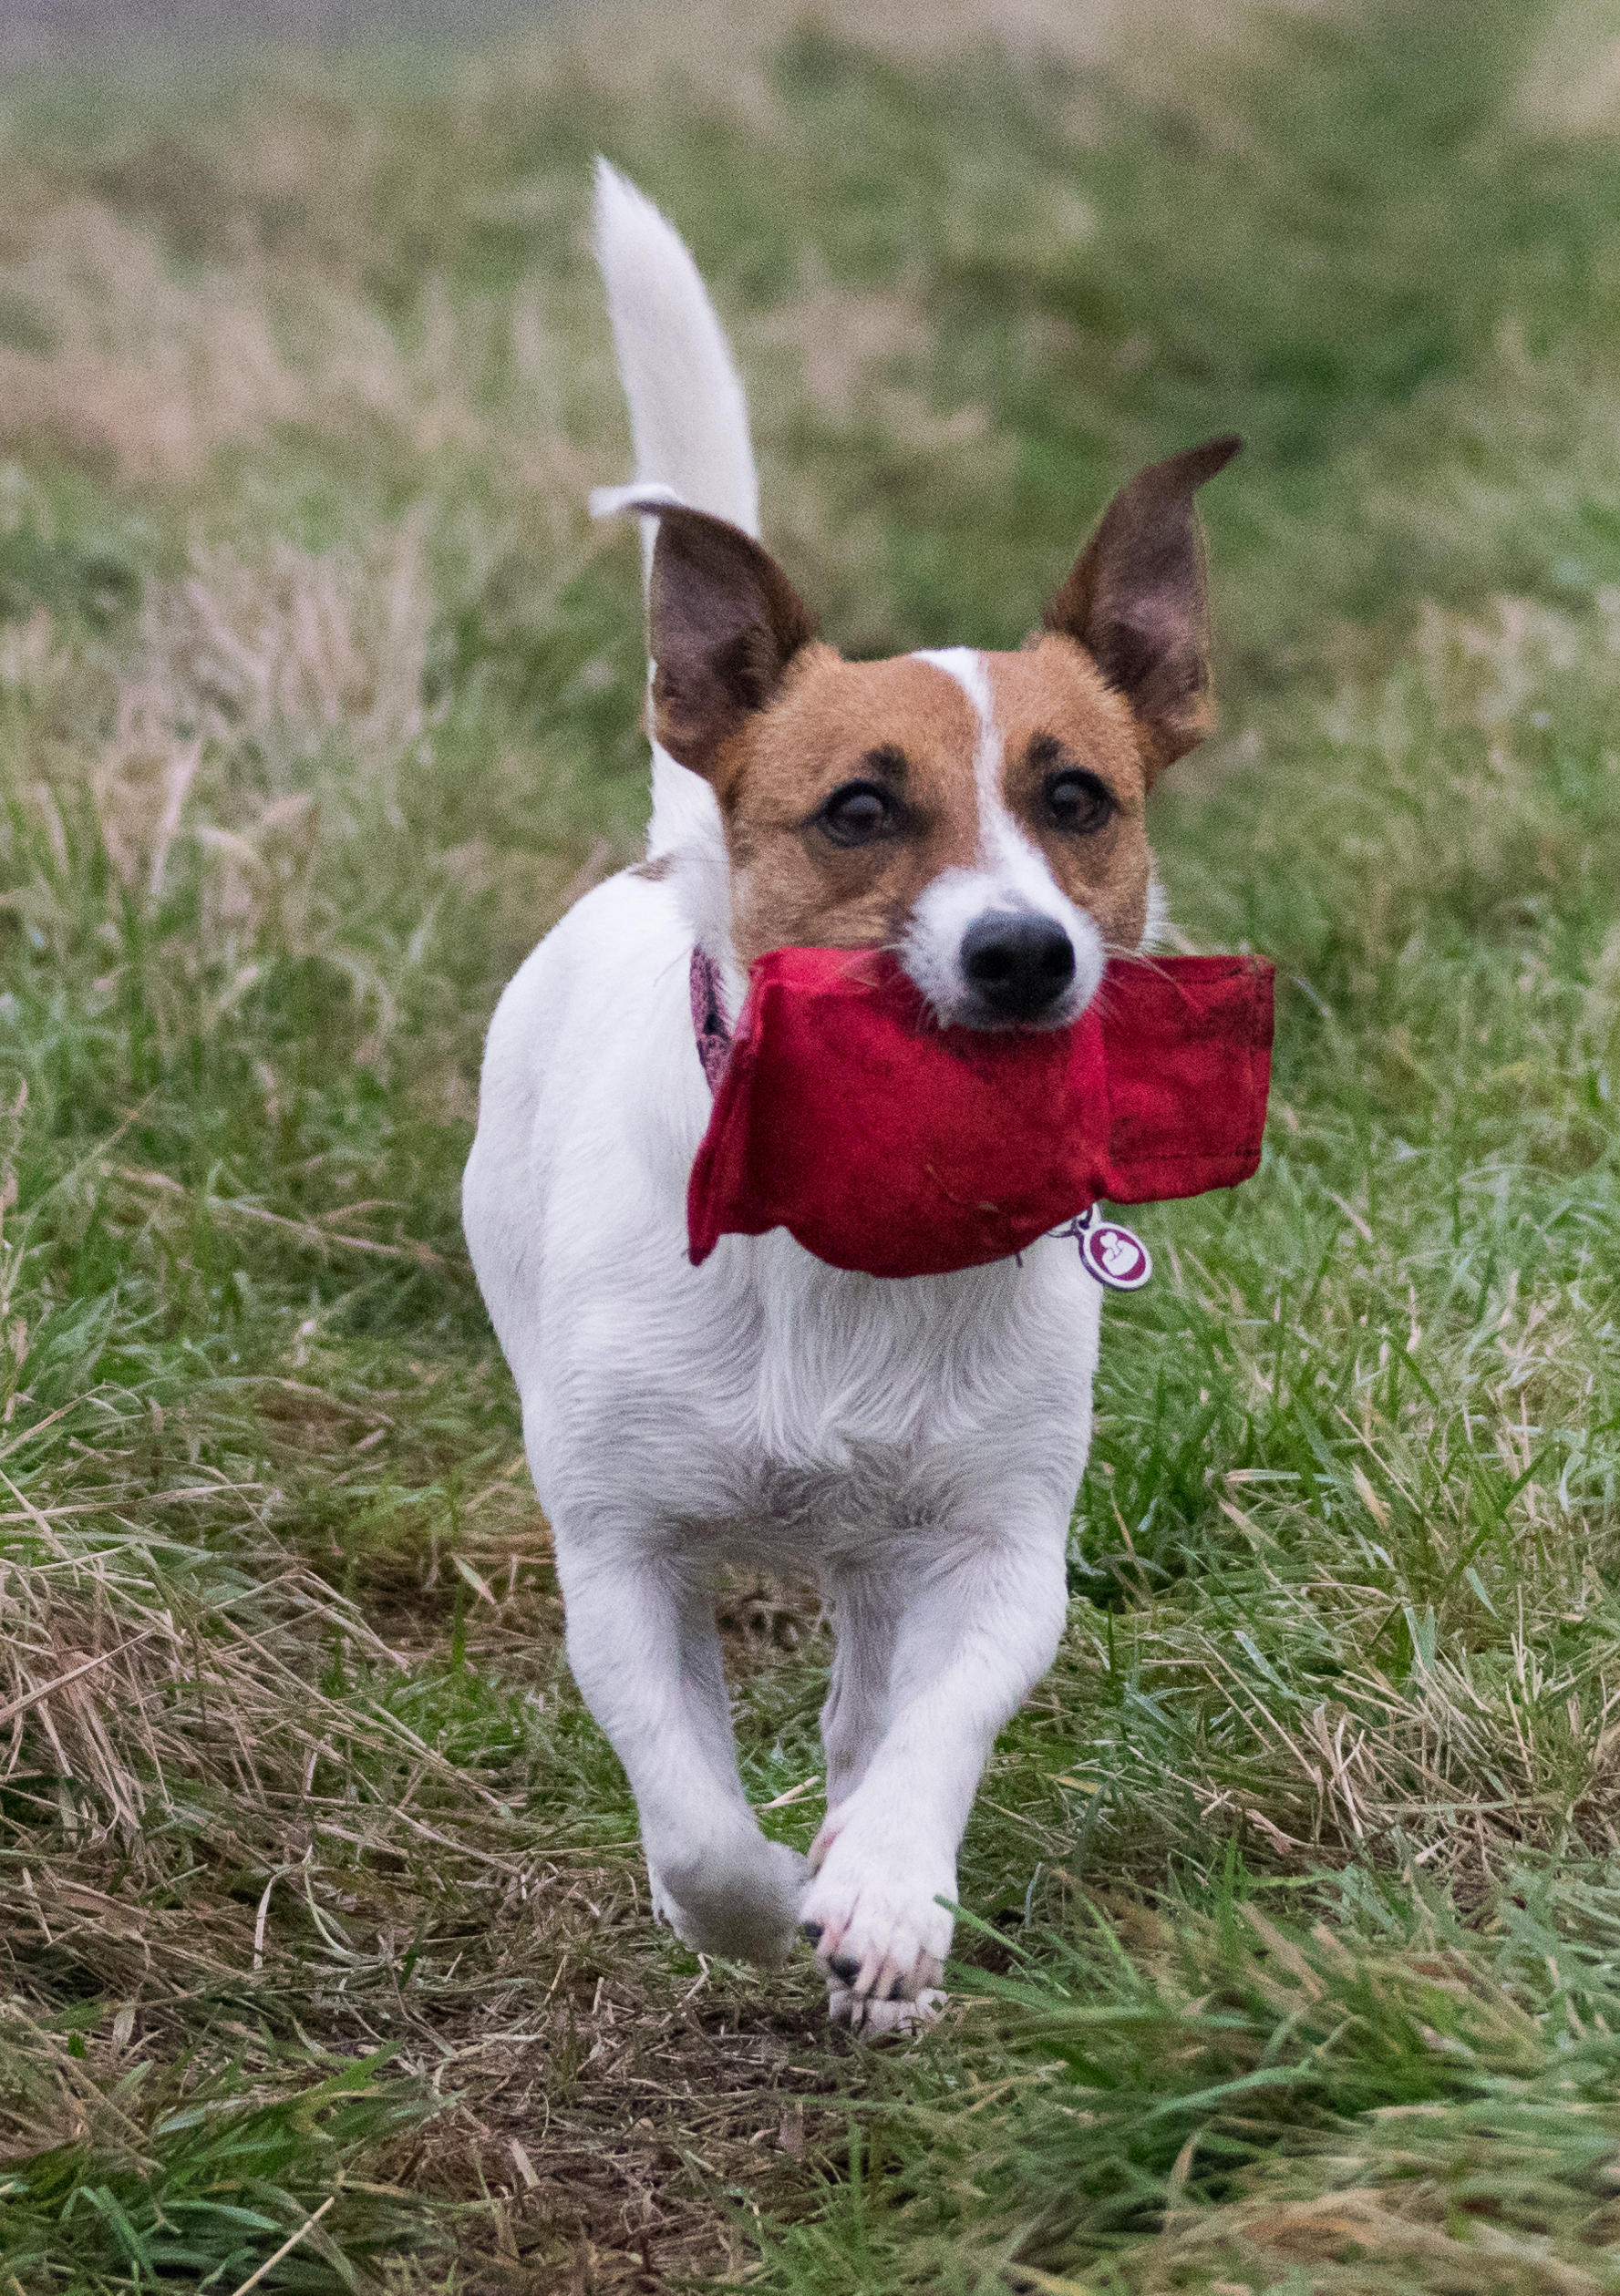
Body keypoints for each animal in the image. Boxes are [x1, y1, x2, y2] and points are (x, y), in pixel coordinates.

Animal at [461, 157, 1232, 2029]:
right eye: (859, 810)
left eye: (1079, 796)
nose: (1023, 952)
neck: (847, 1226)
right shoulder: (620, 1555)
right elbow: (693, 1815)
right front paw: (752, 1905)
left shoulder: (993, 1549)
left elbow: (928, 1733)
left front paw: (882, 1896)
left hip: (885, 1555)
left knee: (863, 1706)